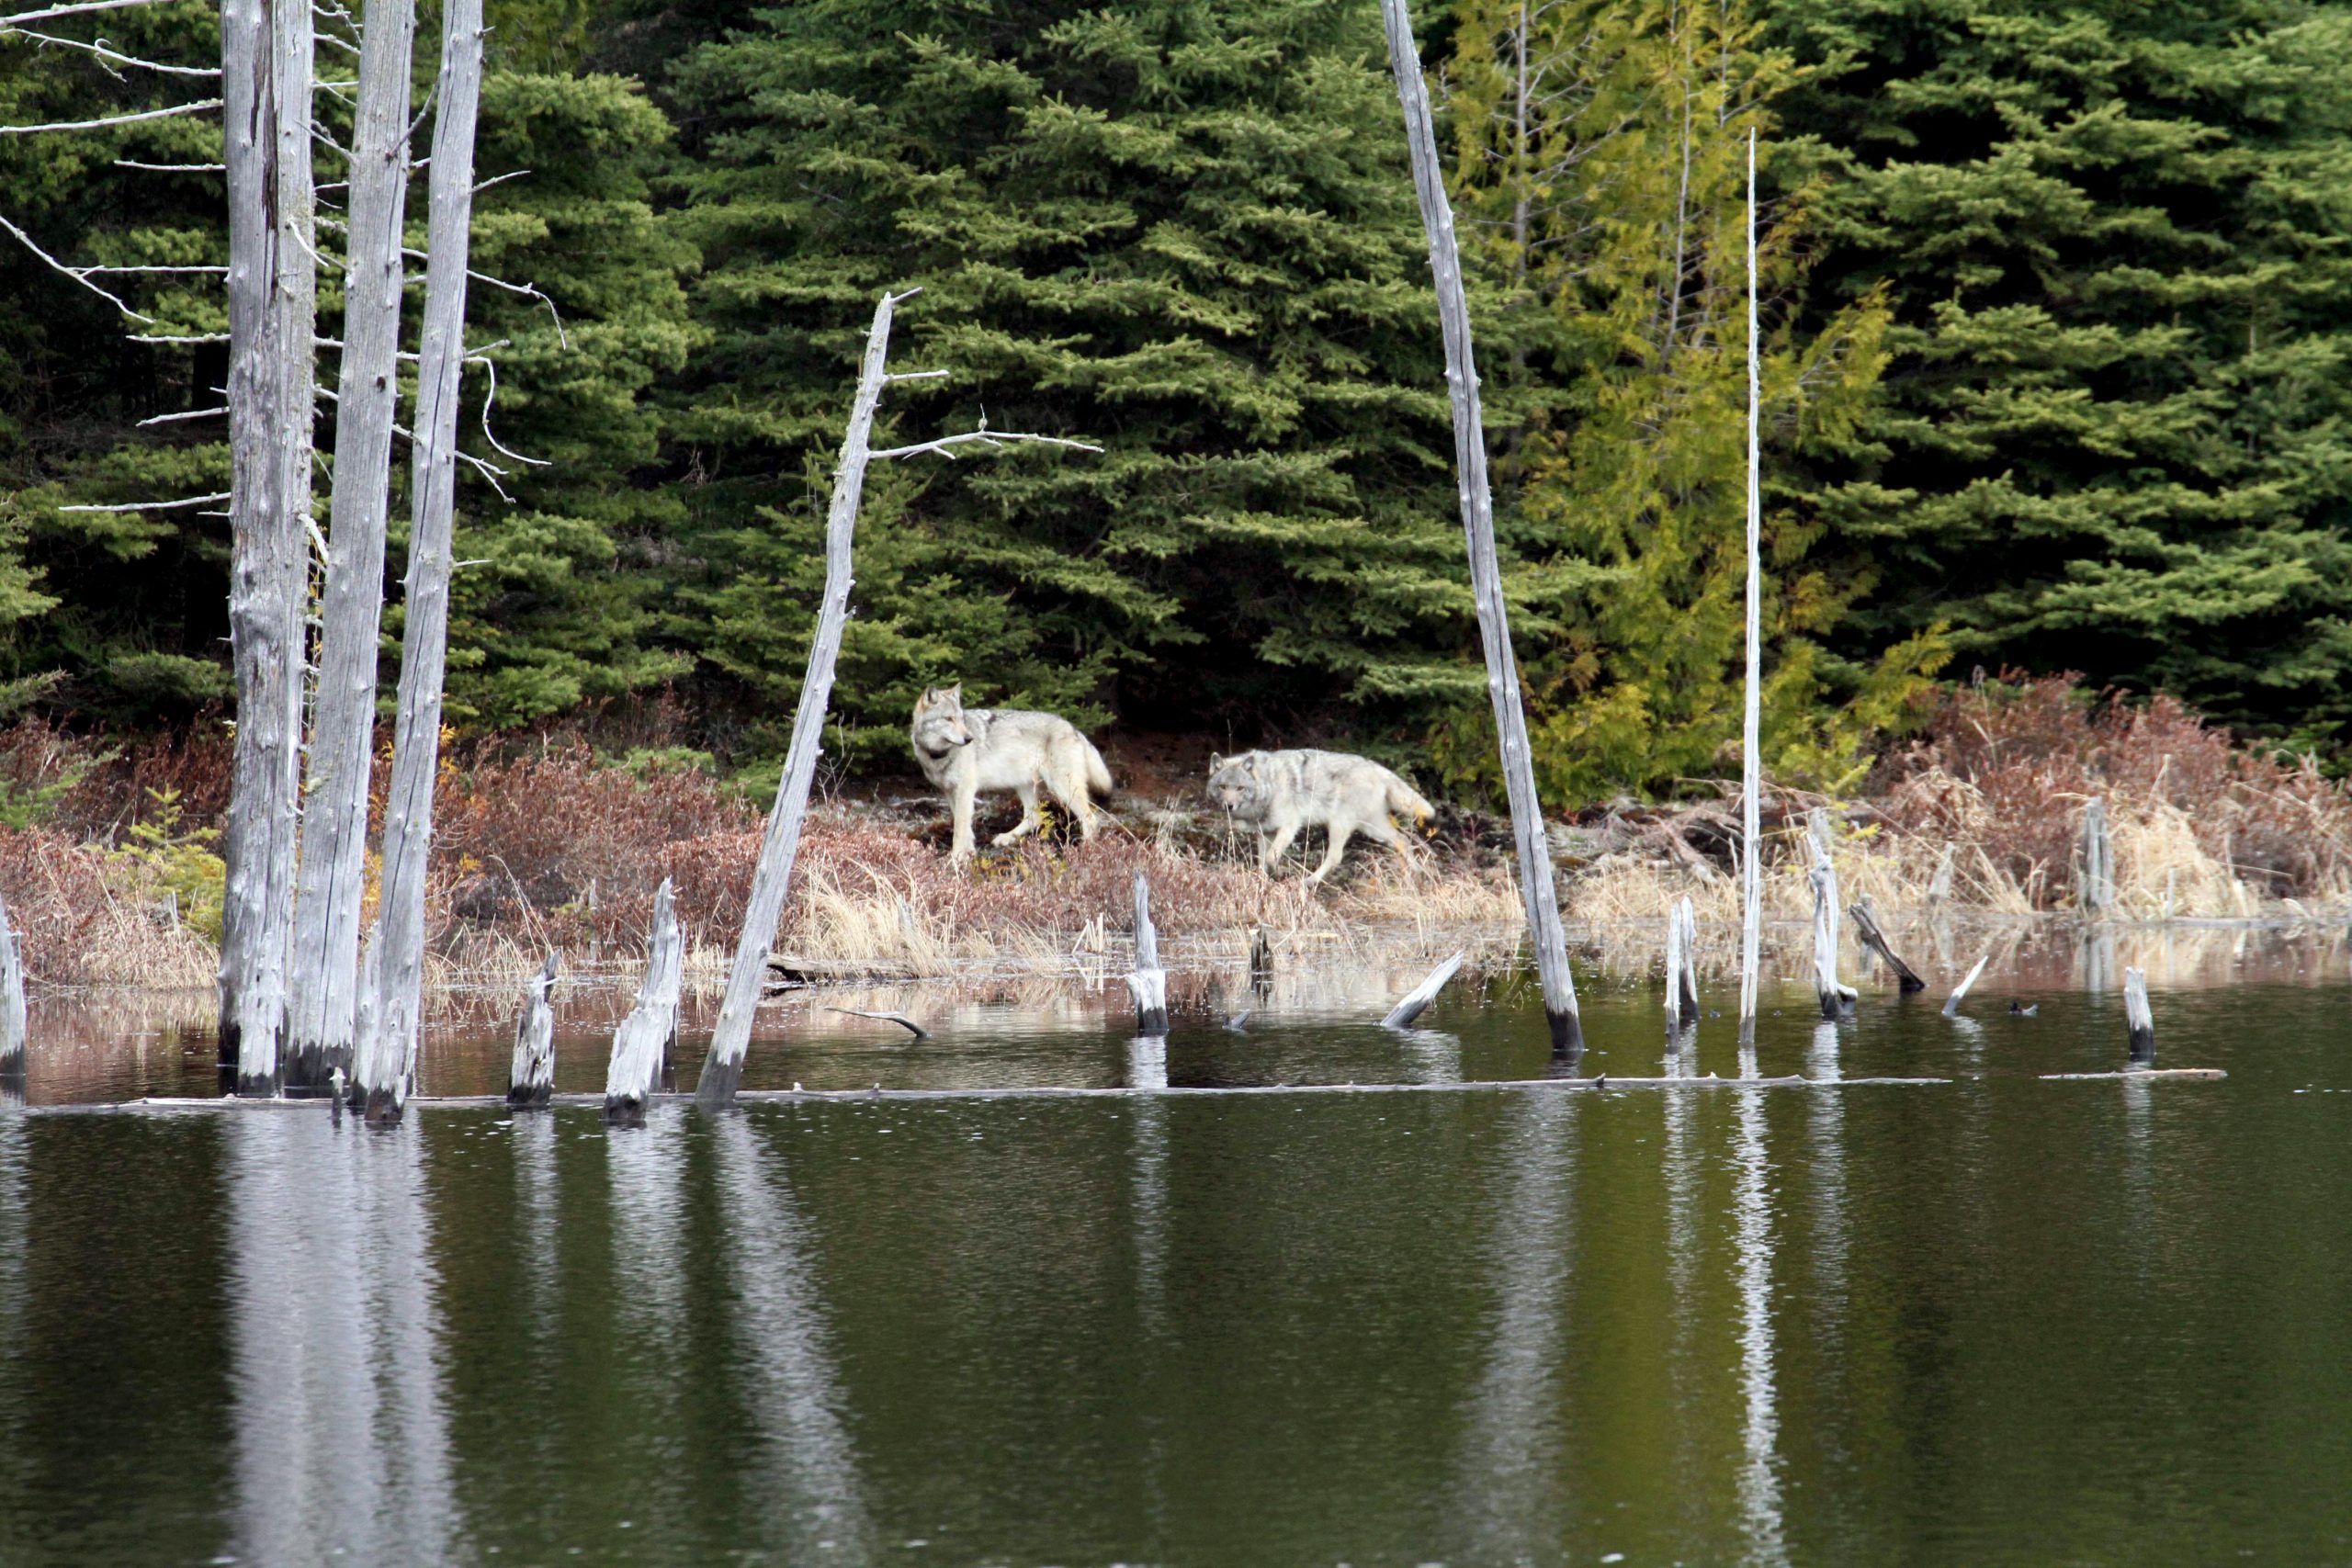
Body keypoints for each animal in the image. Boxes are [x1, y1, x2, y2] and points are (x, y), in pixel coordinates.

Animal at [910, 684, 1113, 862]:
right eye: (948, 719)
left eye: (960, 719)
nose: (969, 739)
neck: (938, 754)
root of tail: (1074, 728)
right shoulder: (950, 792)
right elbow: (965, 827)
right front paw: (969, 852)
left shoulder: (965, 790)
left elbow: (959, 828)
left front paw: (957, 856)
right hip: (1024, 786)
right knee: (1034, 817)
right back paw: (1006, 838)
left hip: (1062, 788)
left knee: (1091, 819)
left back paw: (1086, 851)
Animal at [1205, 748, 1436, 883]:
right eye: (1223, 787)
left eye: (1240, 788)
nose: (1229, 806)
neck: (1268, 784)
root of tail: (1377, 767)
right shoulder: (1264, 833)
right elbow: (1261, 862)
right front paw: (1261, 884)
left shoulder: (1290, 827)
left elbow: (1271, 857)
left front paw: (1277, 874)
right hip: (1373, 828)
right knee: (1403, 840)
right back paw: (1415, 873)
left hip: (1340, 826)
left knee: (1335, 857)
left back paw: (1309, 881)